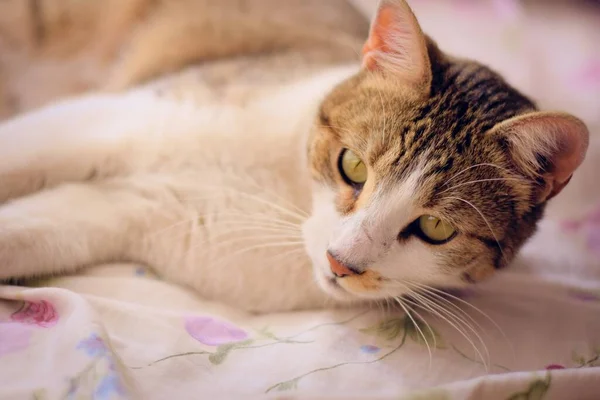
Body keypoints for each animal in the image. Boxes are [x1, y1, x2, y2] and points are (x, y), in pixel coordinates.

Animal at [0, 0, 592, 312]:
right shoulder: (111, 120)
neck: (281, 195)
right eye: (352, 166)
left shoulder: (128, 209)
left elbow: (36, 227)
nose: (341, 262)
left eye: (436, 228)